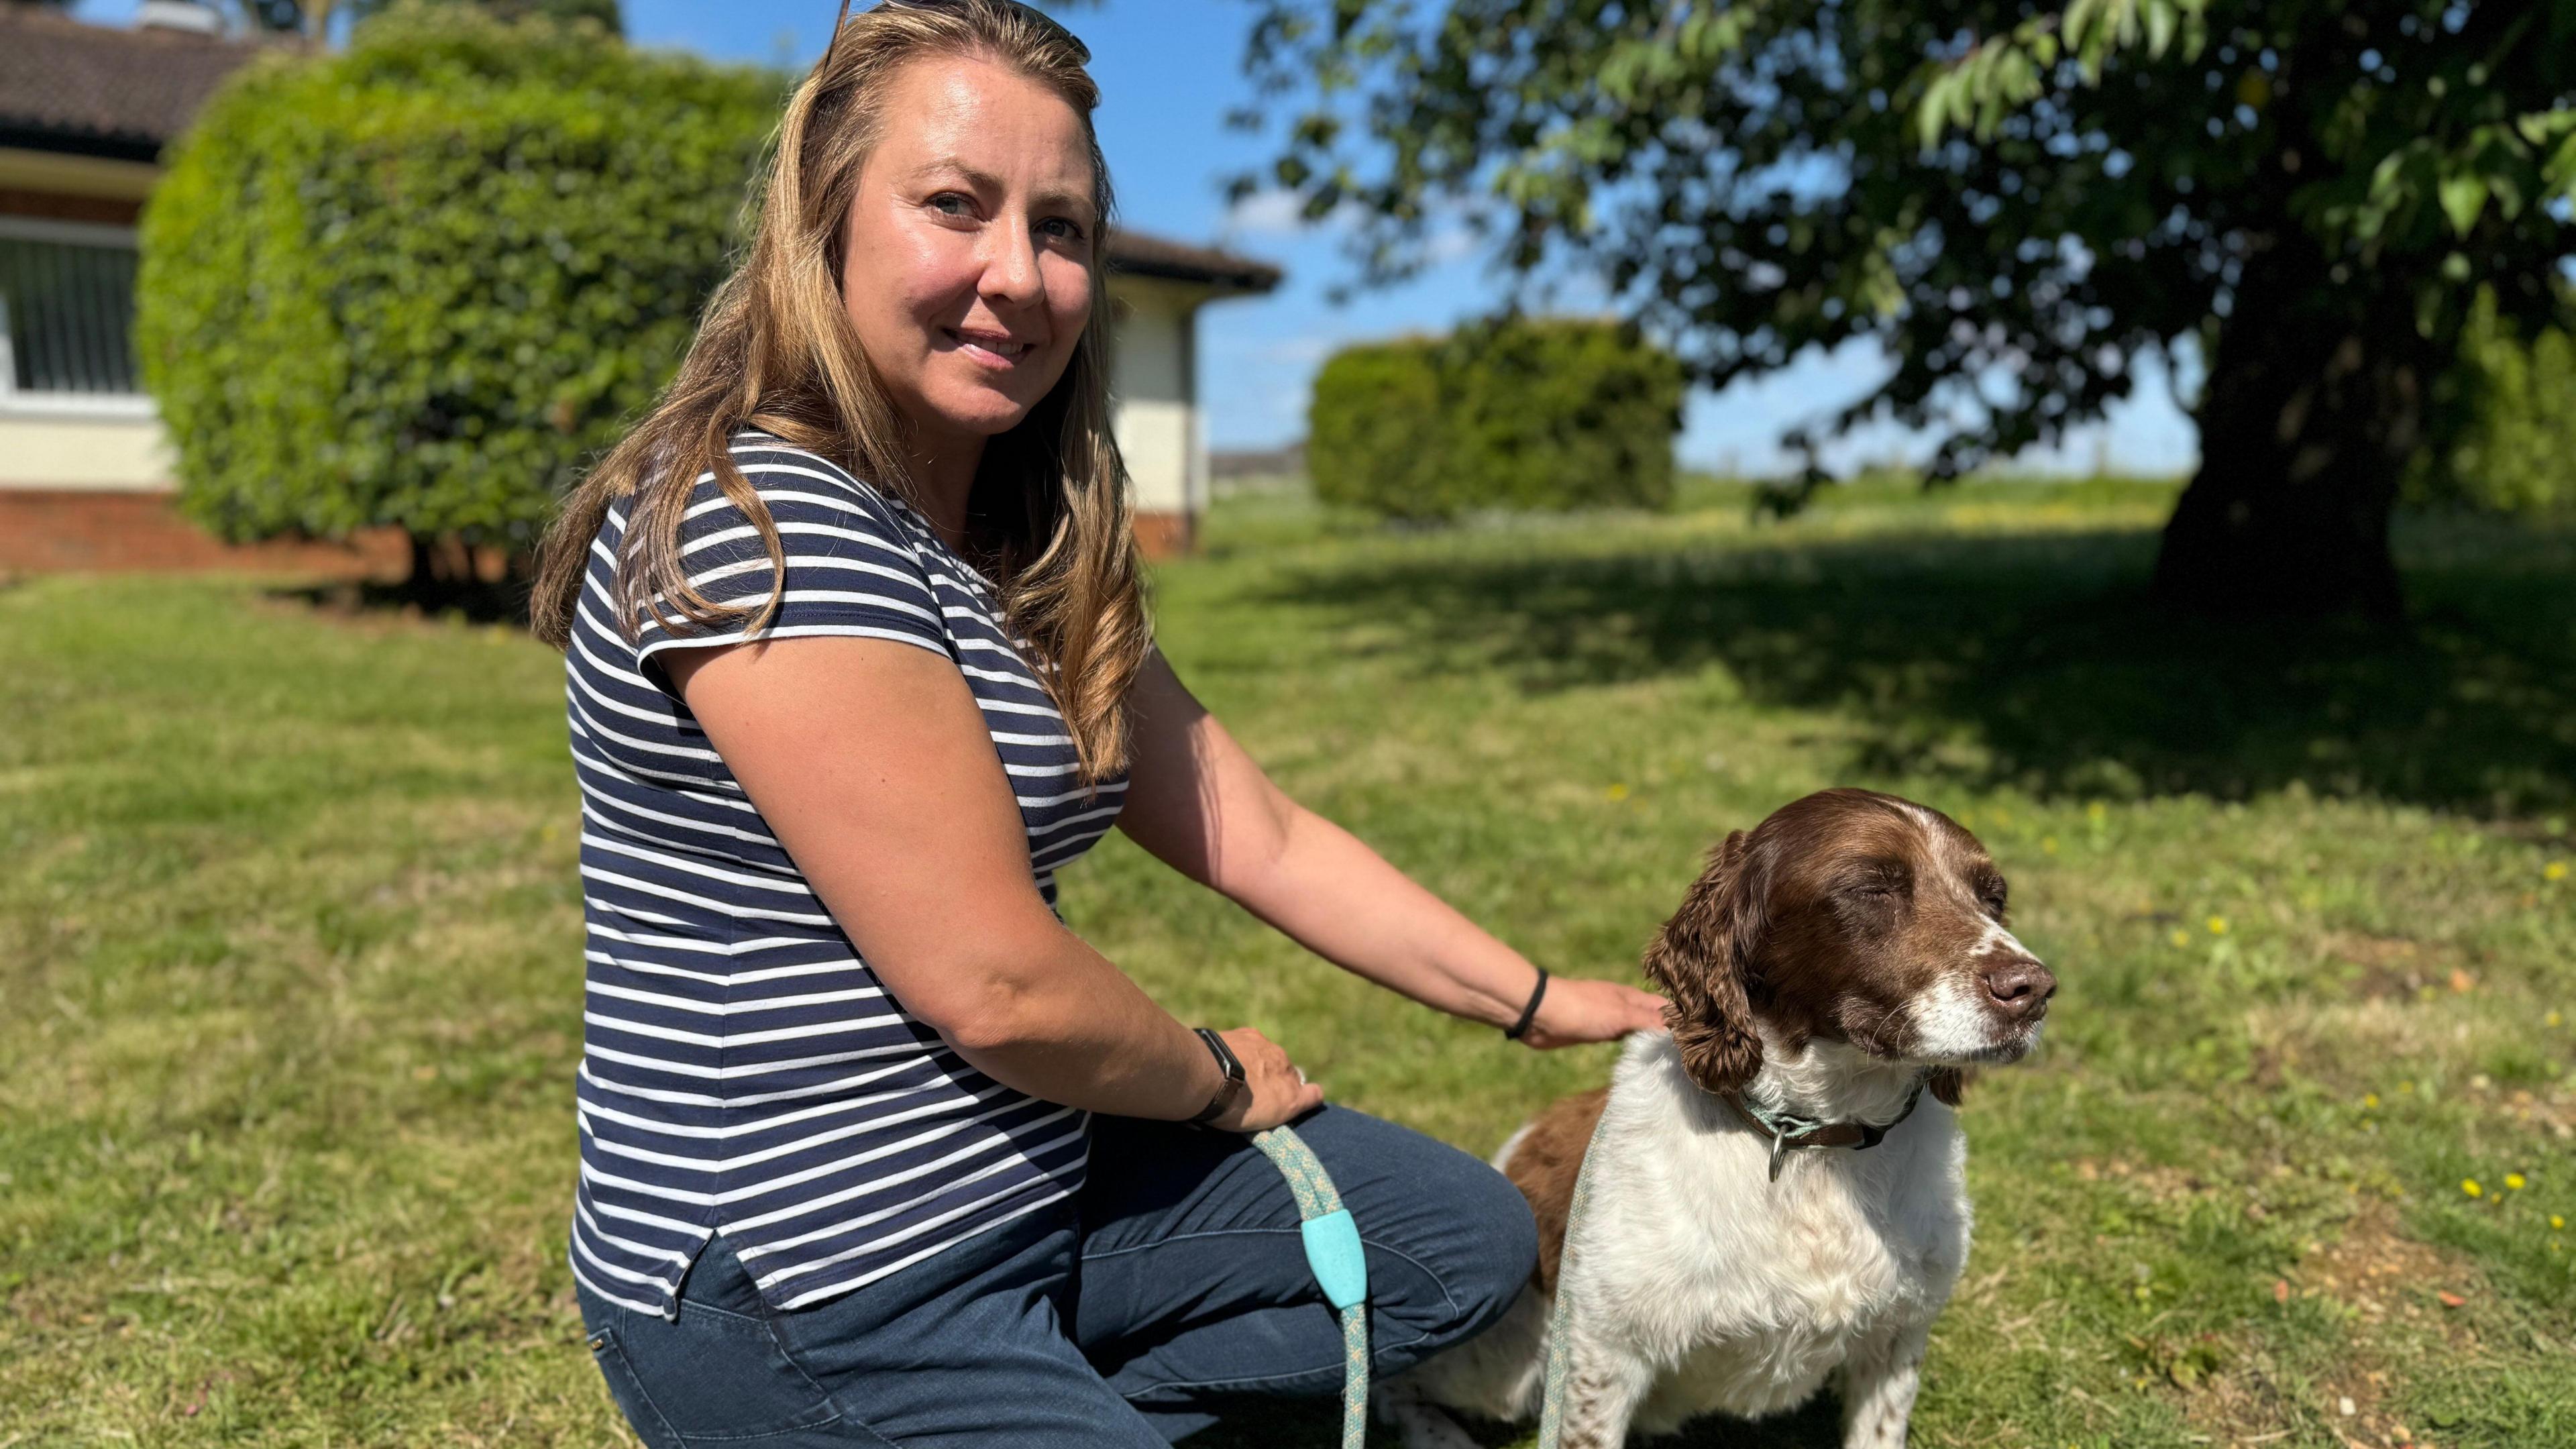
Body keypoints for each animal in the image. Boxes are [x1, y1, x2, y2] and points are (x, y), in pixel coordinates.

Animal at [1381, 789, 2061, 1444]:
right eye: (1871, 889)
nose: (2035, 990)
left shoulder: (1896, 1338)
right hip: (1504, 1365)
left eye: (1994, 898)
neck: (1813, 1141)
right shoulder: (1603, 1352)